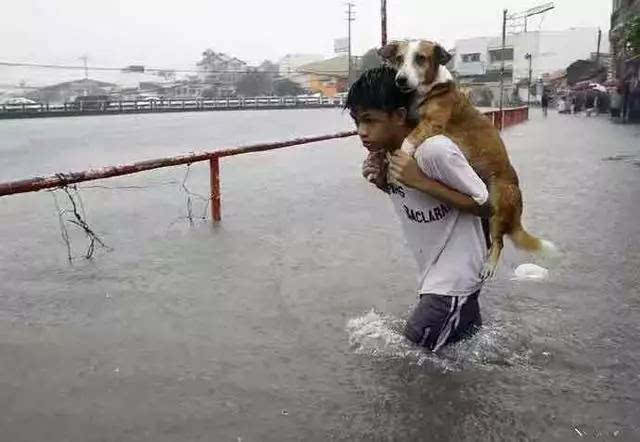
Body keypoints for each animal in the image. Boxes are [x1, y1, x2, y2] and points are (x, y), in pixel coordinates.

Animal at [378, 39, 552, 278]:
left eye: (420, 58)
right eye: (399, 59)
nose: (400, 80)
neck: (430, 90)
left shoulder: (431, 124)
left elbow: (406, 142)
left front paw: (397, 165)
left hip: (498, 203)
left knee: (499, 242)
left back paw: (489, 265)